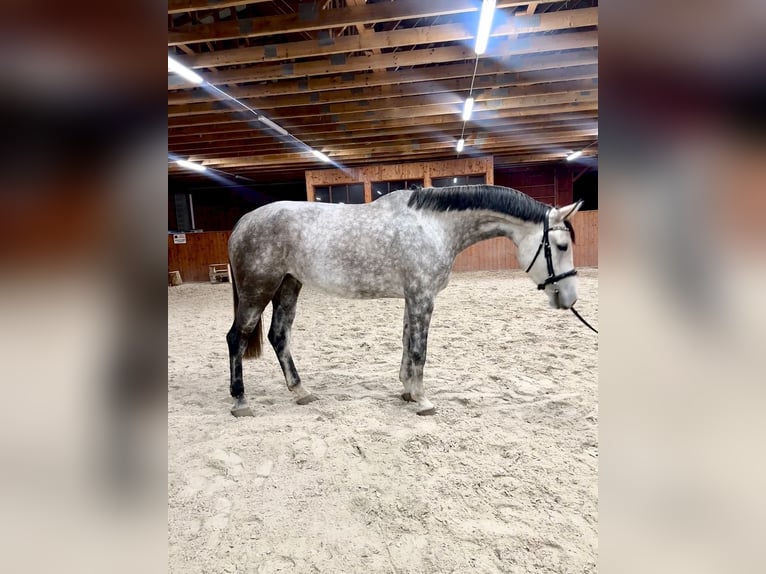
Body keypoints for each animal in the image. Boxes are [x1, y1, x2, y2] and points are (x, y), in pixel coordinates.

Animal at [226, 186, 584, 418]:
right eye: (562, 245)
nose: (569, 298)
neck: (434, 226)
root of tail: (243, 222)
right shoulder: (422, 297)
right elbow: (419, 350)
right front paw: (423, 400)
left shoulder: (412, 298)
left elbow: (406, 342)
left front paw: (408, 391)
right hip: (258, 290)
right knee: (237, 338)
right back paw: (241, 401)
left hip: (288, 286)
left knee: (279, 335)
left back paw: (300, 391)